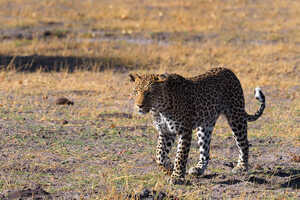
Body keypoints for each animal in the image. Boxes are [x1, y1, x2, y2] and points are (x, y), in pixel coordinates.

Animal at [129, 67, 264, 184]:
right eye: (136, 92)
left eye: (149, 93)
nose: (139, 106)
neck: (159, 109)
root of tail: (228, 71)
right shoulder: (165, 131)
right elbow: (159, 155)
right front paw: (168, 168)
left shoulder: (184, 131)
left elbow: (180, 156)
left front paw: (177, 176)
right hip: (205, 126)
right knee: (205, 150)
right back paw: (198, 169)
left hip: (236, 117)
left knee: (244, 144)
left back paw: (241, 167)